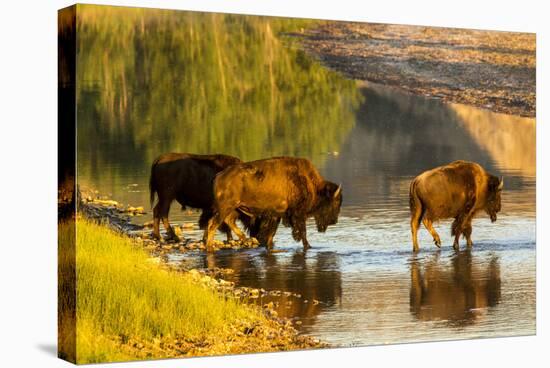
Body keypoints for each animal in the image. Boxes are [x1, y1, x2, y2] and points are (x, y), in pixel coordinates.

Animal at [205, 157, 342, 252]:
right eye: (335, 202)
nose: (334, 221)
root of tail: (219, 175)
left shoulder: (277, 215)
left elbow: (272, 232)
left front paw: (269, 247)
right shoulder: (298, 215)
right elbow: (302, 232)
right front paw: (308, 246)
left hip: (234, 209)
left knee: (226, 221)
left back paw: (245, 239)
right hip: (226, 208)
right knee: (213, 225)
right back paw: (210, 247)